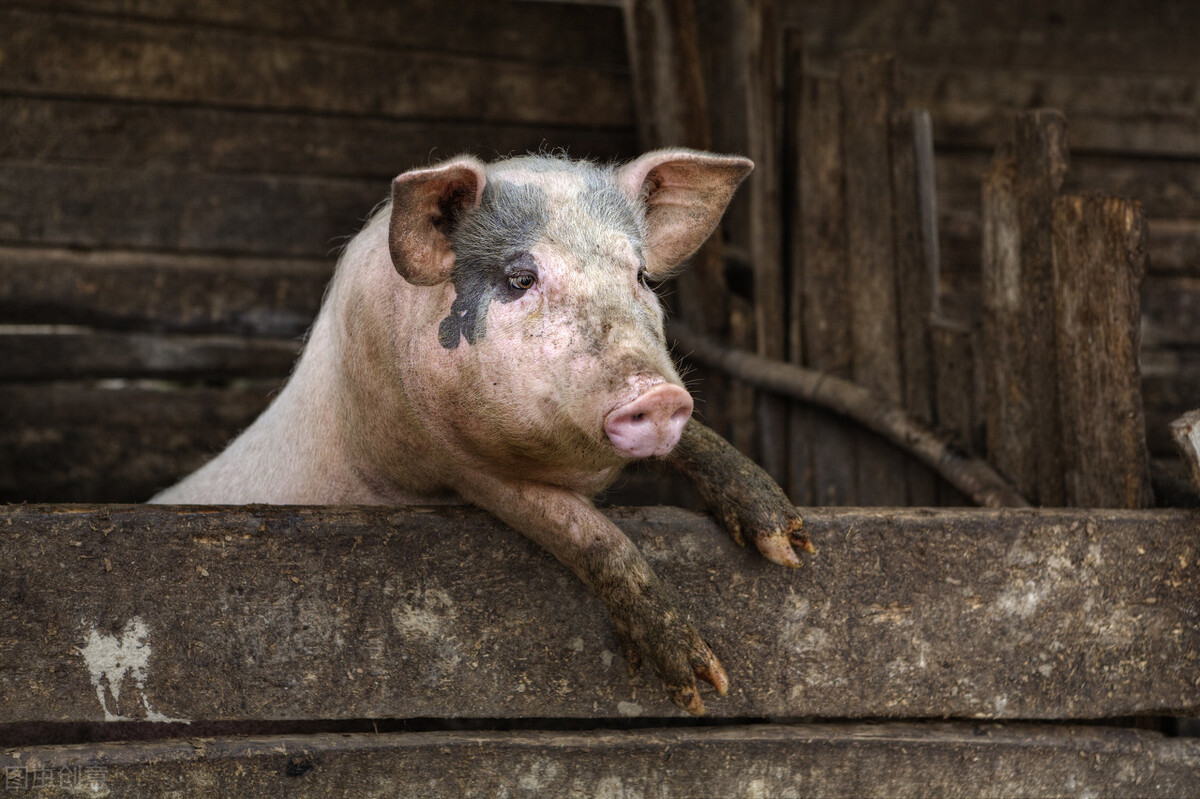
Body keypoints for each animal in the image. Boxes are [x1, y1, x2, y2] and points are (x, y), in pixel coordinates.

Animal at [150, 149, 806, 715]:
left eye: (642, 275)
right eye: (519, 278)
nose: (659, 395)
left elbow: (696, 441)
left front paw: (791, 547)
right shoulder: (455, 468)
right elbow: (589, 534)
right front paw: (702, 687)